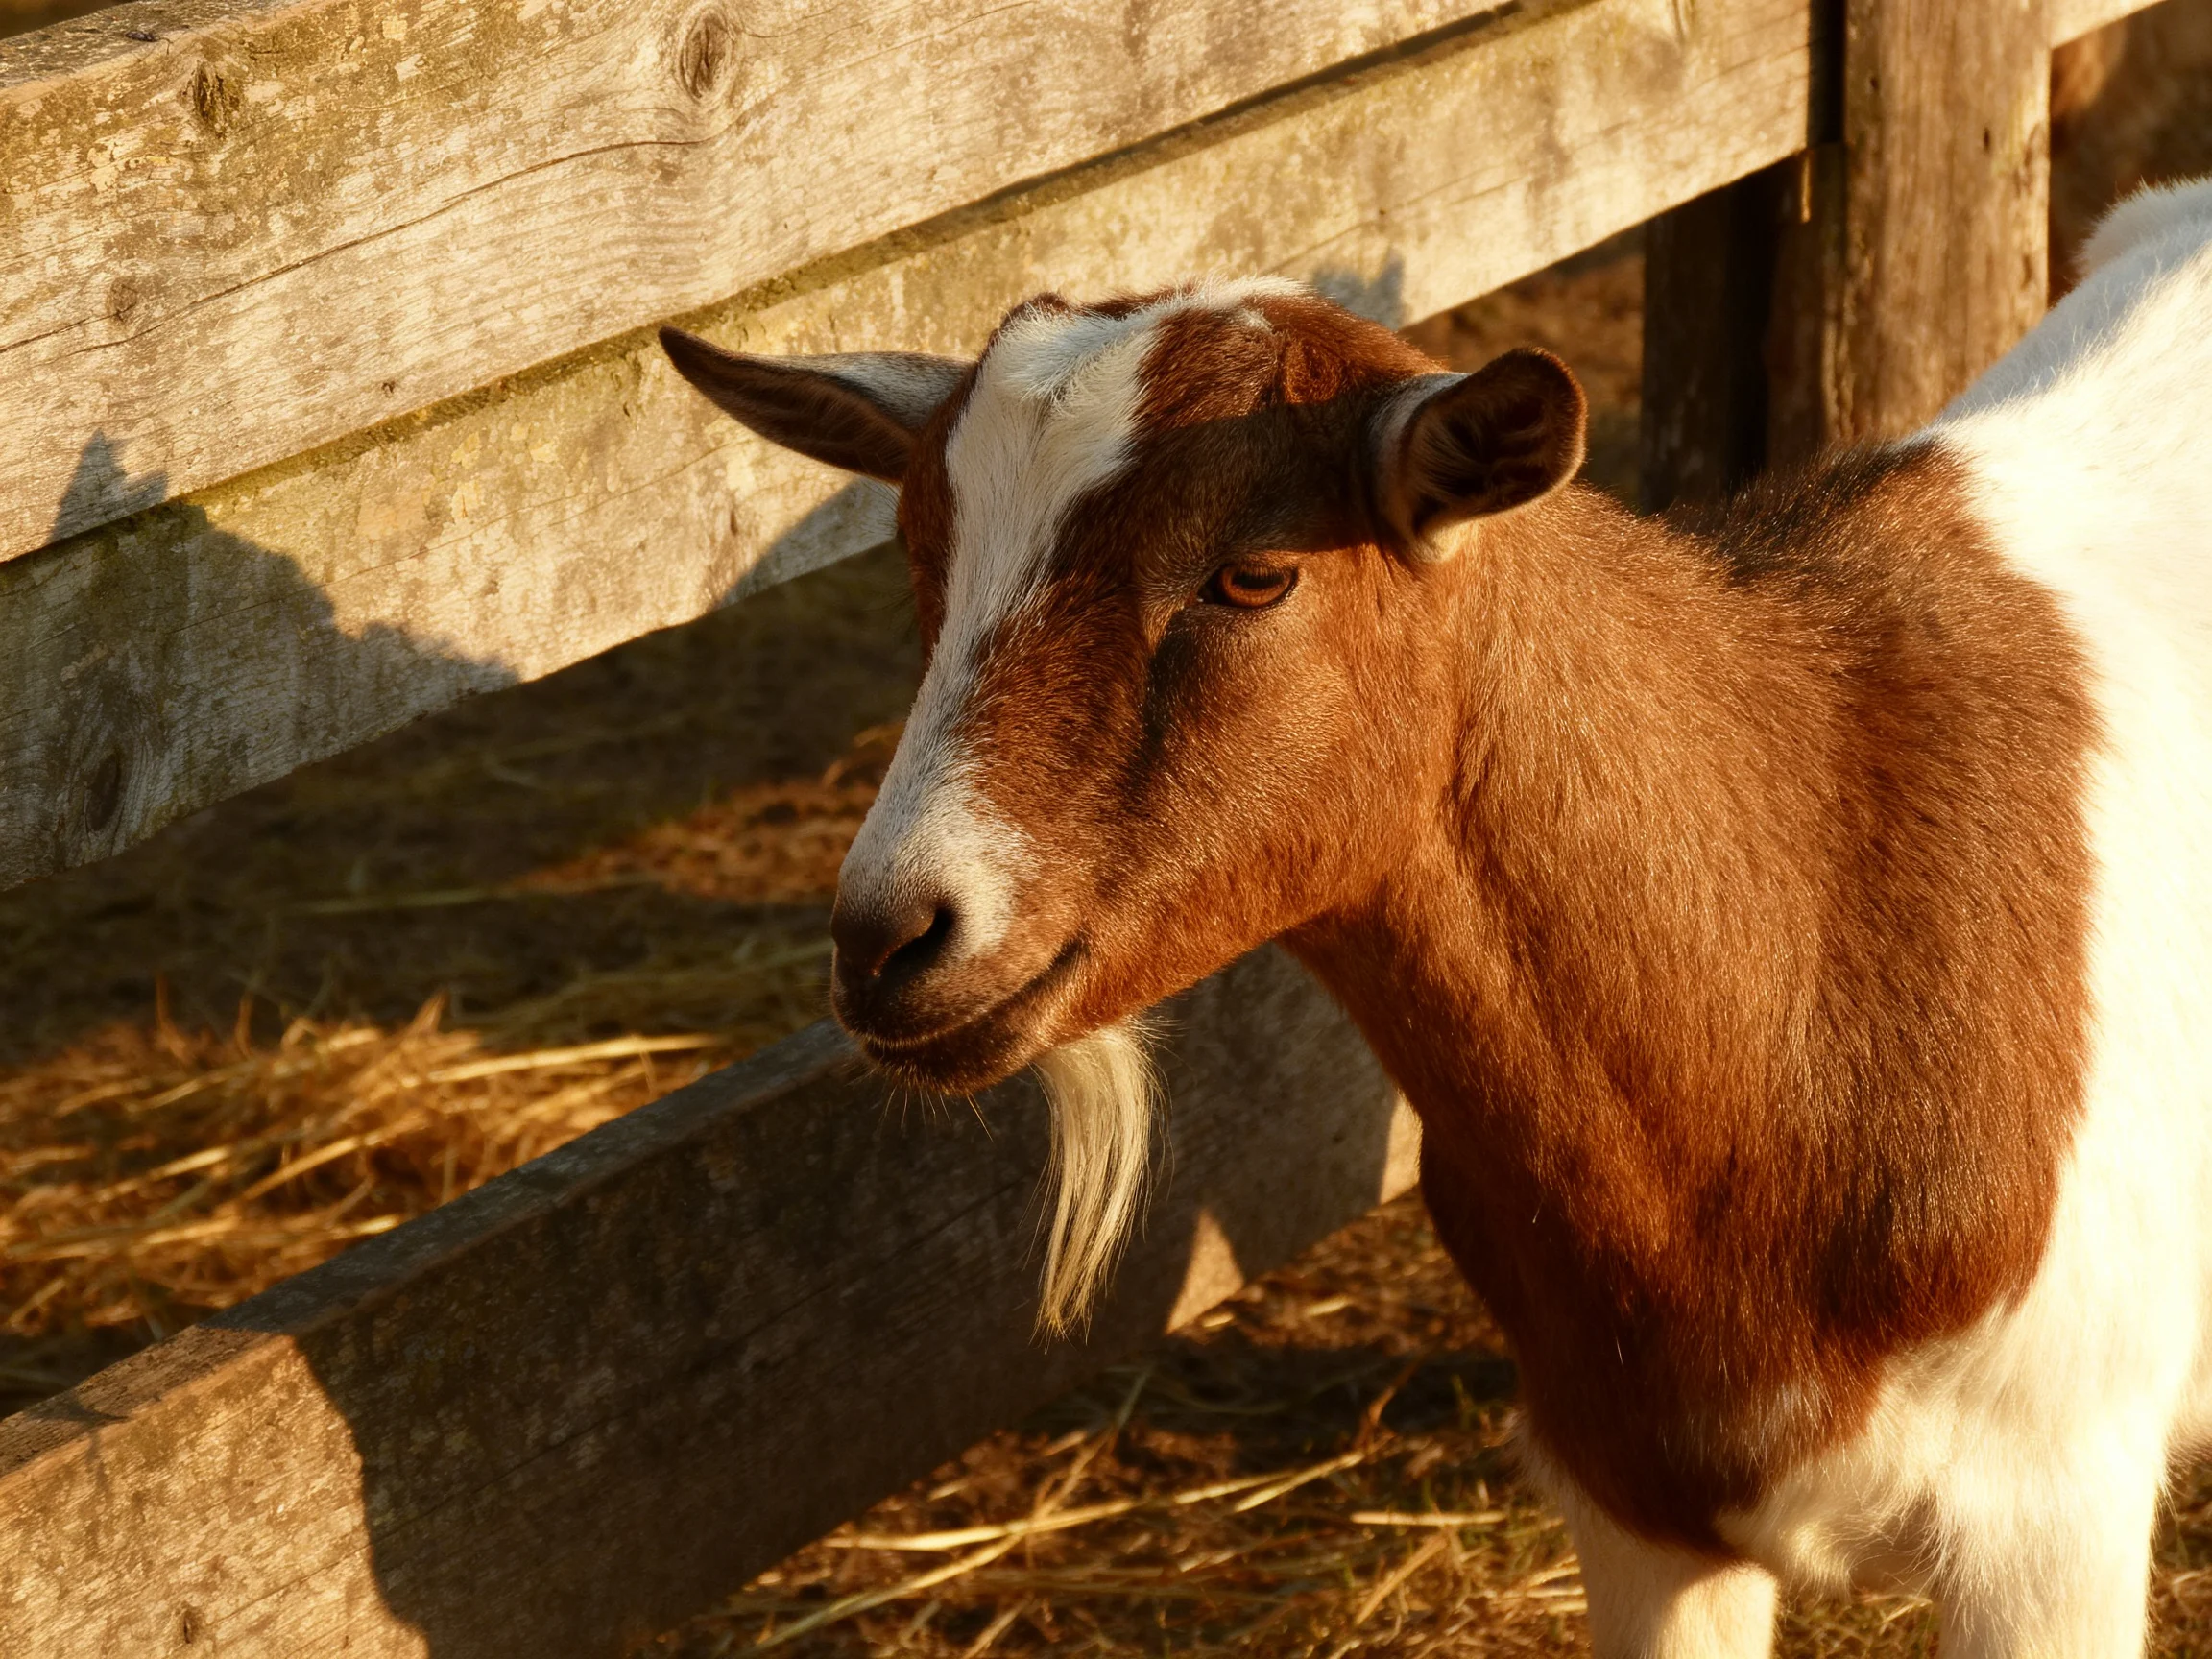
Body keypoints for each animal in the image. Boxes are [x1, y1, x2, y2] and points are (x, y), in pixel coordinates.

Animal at [660, 177, 2212, 1656]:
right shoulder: (1637, 1504)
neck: (1818, 930)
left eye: (1254, 571)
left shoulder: (2051, 1523)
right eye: (923, 560)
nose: (891, 937)